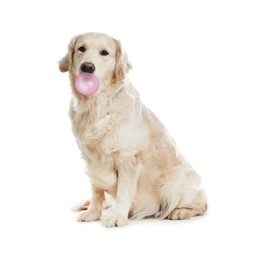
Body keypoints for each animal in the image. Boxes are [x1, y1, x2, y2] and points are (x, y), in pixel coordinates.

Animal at [59, 32, 206, 228]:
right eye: (81, 48)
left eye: (104, 52)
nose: (87, 67)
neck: (97, 106)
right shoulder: (92, 159)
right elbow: (97, 191)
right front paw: (92, 213)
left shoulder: (127, 158)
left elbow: (123, 191)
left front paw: (117, 217)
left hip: (174, 181)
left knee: (201, 204)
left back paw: (179, 212)